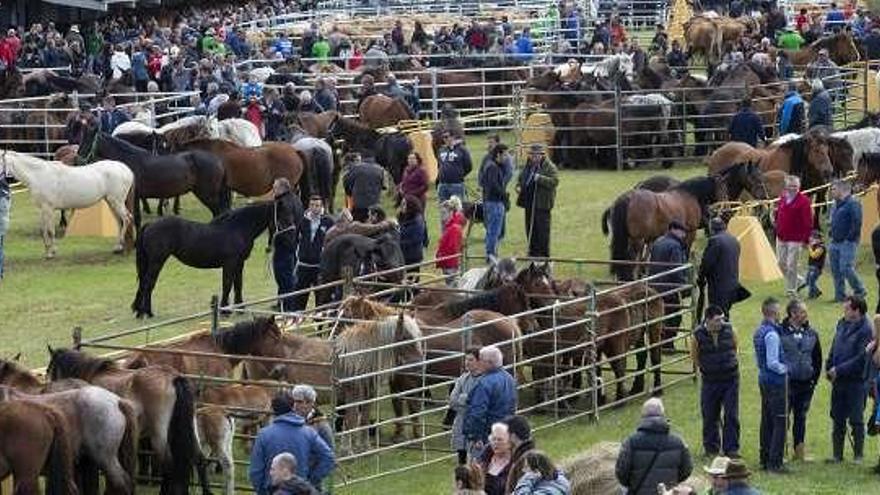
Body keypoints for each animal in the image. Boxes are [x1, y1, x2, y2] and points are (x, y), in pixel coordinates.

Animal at [2, 150, 133, 260]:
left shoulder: (49, 208)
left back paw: (121, 246)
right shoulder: (42, 209)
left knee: (126, 219)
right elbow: (43, 230)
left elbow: (50, 231)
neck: (39, 175)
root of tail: (126, 170)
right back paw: (117, 247)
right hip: (111, 202)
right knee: (119, 221)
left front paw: (51, 253)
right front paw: (47, 251)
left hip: (116, 201)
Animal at [78, 127, 229, 230]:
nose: (77, 160)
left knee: (218, 212)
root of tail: (218, 161)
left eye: (88, 141)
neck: (130, 161)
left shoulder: (135, 197)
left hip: (206, 194)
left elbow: (136, 218)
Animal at [131, 200, 302, 320]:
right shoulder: (230, 263)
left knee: (144, 284)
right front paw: (224, 310)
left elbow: (238, 285)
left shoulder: (239, 263)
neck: (238, 228)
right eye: (282, 216)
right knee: (148, 284)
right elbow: (227, 284)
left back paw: (141, 311)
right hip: (157, 262)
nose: (293, 238)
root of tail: (149, 225)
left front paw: (240, 308)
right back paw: (147, 313)